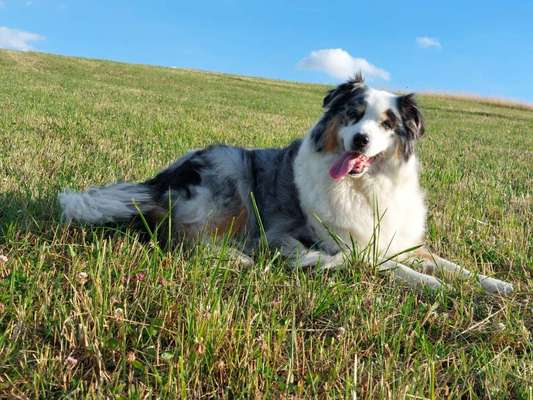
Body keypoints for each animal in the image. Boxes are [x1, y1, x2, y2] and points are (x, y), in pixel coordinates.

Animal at [58, 74, 512, 294]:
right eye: (353, 114)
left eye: (387, 123)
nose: (360, 140)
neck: (366, 186)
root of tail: (159, 178)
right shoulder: (336, 243)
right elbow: (393, 268)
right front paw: (432, 285)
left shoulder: (400, 241)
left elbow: (452, 265)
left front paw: (496, 284)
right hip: (231, 168)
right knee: (181, 237)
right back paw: (237, 257)